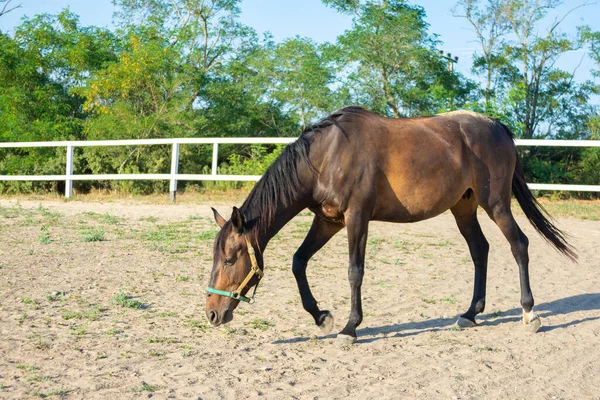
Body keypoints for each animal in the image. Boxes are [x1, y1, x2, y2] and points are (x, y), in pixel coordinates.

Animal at [205, 106, 576, 344]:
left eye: (230, 258)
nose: (212, 314)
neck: (327, 156)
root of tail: (498, 126)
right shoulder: (328, 220)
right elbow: (299, 261)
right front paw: (322, 317)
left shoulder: (356, 218)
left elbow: (355, 272)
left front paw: (350, 328)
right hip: (464, 207)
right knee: (480, 251)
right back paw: (470, 314)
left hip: (496, 203)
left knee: (519, 245)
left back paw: (529, 314)